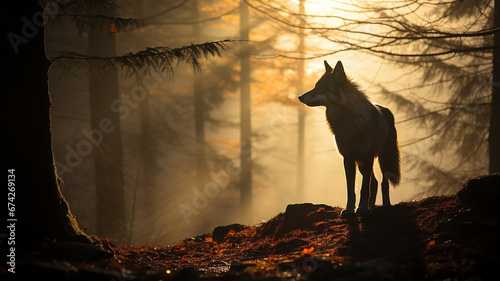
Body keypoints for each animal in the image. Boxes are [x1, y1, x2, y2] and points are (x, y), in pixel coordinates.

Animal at [298, 60, 400, 215]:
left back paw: (385, 205)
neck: (348, 122)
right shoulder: (348, 158)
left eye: (321, 88)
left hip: (383, 159)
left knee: (383, 182)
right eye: (315, 86)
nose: (300, 97)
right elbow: (351, 189)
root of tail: (387, 110)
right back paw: (371, 206)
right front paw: (350, 209)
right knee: (374, 183)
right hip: (362, 165)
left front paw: (362, 208)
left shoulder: (368, 156)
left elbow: (363, 188)